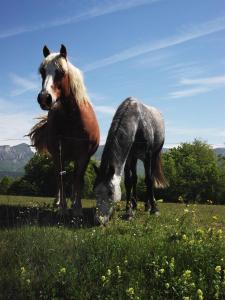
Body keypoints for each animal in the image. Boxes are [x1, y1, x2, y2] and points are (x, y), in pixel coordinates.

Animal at [29, 44, 100, 216]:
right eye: (42, 71)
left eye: (61, 72)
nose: (44, 98)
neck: (72, 118)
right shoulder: (58, 154)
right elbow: (61, 179)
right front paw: (62, 208)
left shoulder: (83, 156)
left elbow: (78, 180)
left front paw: (77, 208)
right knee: (57, 177)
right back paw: (57, 202)